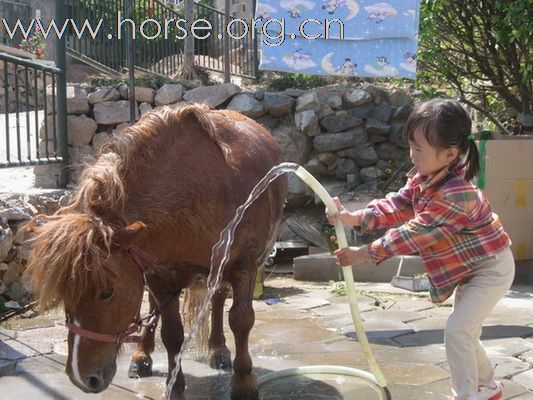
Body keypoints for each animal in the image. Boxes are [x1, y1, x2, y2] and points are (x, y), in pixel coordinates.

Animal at [23, 104, 286, 400]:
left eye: (106, 292)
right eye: (66, 293)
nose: (82, 378)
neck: (195, 187)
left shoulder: (243, 264)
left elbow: (240, 321)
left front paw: (244, 384)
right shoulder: (156, 271)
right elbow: (172, 334)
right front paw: (175, 388)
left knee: (218, 300)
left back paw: (218, 350)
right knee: (154, 309)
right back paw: (141, 356)